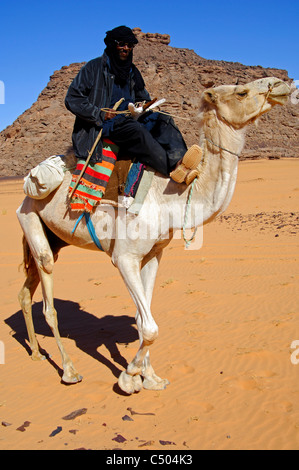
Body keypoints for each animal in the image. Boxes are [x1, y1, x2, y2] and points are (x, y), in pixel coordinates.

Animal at [15, 76, 290, 392]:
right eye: (241, 92)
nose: (281, 84)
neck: (169, 197)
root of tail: (26, 189)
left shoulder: (153, 254)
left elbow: (141, 316)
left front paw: (150, 378)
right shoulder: (125, 258)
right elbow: (149, 327)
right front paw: (128, 378)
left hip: (52, 236)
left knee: (27, 290)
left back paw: (36, 353)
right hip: (29, 216)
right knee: (48, 296)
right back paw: (70, 371)